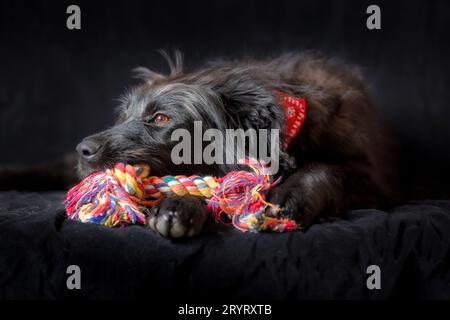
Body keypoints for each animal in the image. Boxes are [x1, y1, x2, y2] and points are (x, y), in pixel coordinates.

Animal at [2, 52, 398, 238]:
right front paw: (180, 207)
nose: (83, 150)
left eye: (161, 119)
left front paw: (287, 197)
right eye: (123, 115)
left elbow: (326, 168)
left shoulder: (372, 181)